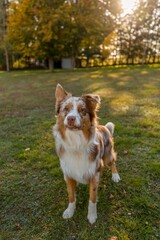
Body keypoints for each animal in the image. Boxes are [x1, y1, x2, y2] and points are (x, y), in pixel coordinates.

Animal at [52, 83, 120, 224]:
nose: (71, 118)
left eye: (82, 110)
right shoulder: (68, 174)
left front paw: (92, 216)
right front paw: (70, 211)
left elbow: (92, 198)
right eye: (66, 109)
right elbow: (71, 196)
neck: (76, 144)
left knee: (112, 163)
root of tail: (104, 127)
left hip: (107, 155)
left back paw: (115, 176)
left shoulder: (94, 174)